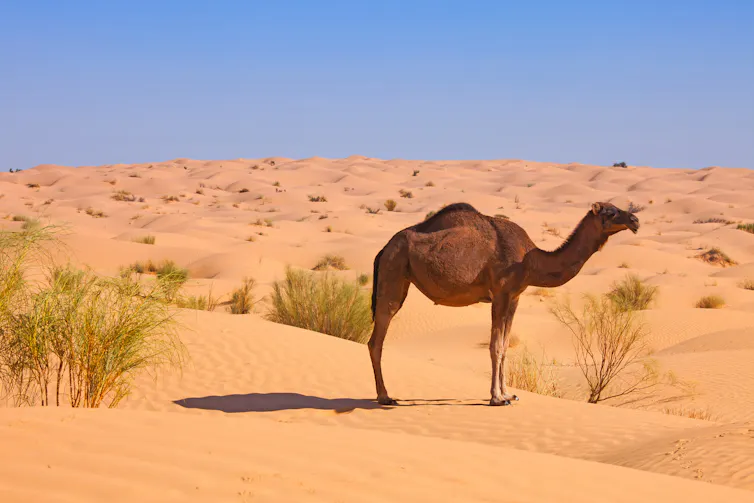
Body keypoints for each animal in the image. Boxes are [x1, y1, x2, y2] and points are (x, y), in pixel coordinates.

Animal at [368, 201, 639, 406]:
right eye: (610, 211)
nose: (635, 220)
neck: (531, 260)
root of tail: (384, 248)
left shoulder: (515, 296)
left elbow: (506, 345)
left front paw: (509, 392)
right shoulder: (500, 293)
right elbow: (495, 346)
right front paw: (497, 398)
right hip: (394, 270)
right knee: (377, 338)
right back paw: (385, 396)